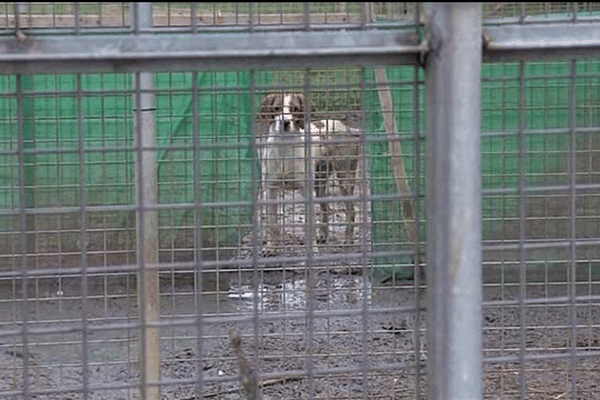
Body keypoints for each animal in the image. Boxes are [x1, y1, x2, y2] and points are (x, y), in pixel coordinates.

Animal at [258, 93, 360, 256]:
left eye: (295, 109)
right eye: (276, 108)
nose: (284, 122)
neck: (286, 148)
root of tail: (346, 127)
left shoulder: (306, 191)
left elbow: (309, 226)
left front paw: (312, 251)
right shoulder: (271, 190)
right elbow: (272, 224)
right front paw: (271, 248)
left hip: (344, 179)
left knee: (351, 210)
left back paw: (348, 240)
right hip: (319, 185)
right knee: (326, 208)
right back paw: (323, 236)